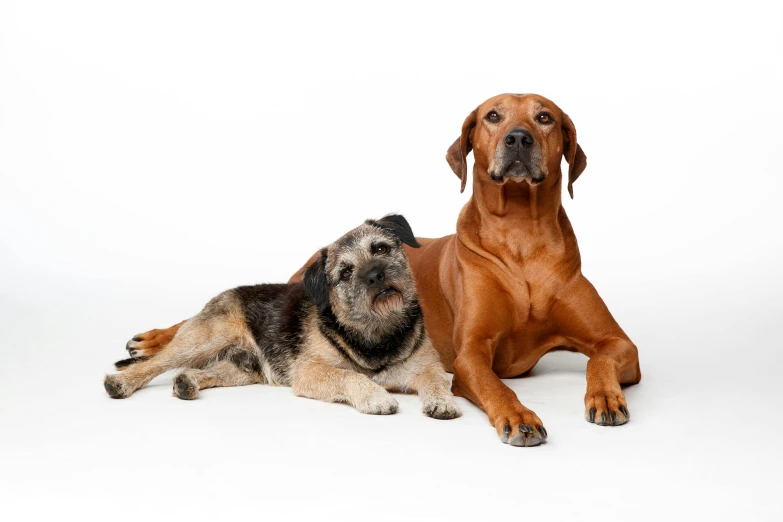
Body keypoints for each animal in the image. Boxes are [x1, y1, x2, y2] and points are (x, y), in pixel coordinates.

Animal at [103, 215, 460, 418]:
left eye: (382, 249)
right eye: (345, 273)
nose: (375, 275)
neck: (377, 332)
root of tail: (223, 294)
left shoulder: (427, 366)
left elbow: (436, 381)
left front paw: (442, 402)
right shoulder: (311, 372)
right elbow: (350, 376)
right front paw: (375, 396)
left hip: (244, 368)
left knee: (200, 370)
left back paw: (187, 382)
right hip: (202, 339)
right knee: (155, 363)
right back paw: (121, 382)